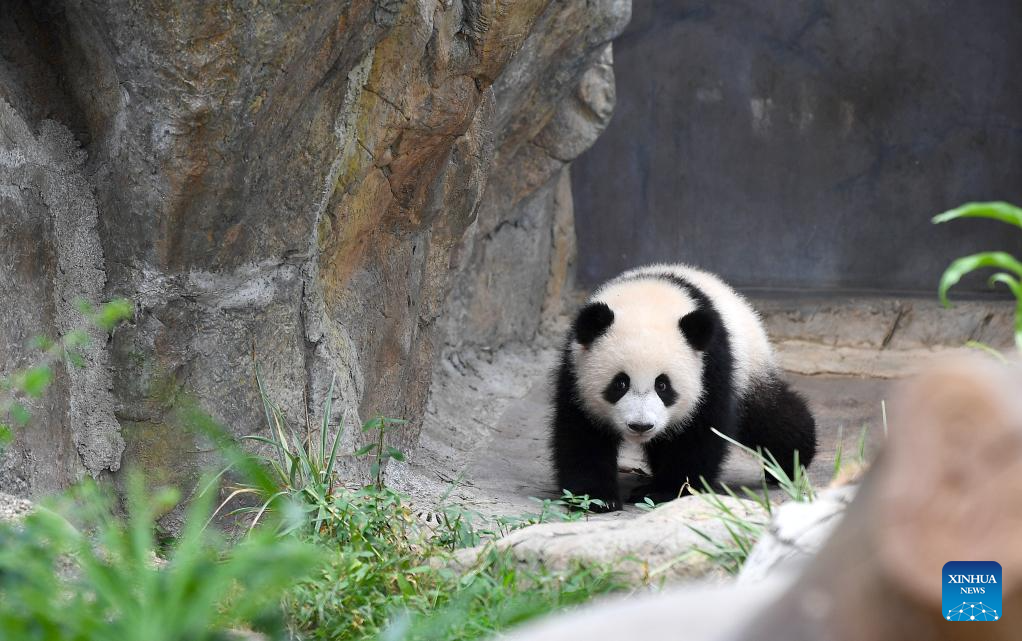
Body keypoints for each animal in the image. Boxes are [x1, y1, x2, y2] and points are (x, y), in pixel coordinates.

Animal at [550, 263, 816, 512]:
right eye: (620, 383)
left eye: (663, 385)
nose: (640, 426)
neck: (647, 300)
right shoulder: (575, 369)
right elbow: (581, 435)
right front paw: (596, 498)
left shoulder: (710, 365)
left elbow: (697, 434)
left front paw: (665, 491)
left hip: (748, 367)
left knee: (769, 417)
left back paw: (790, 463)